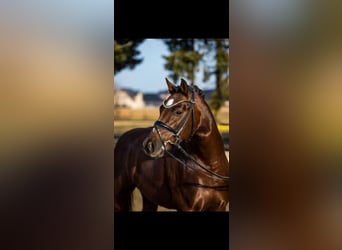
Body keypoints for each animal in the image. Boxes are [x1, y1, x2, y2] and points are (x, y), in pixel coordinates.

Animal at [113, 78, 228, 211]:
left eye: (178, 111)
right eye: (161, 109)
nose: (149, 146)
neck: (209, 167)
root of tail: (124, 137)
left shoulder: (220, 207)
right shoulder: (186, 208)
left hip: (149, 197)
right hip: (119, 197)